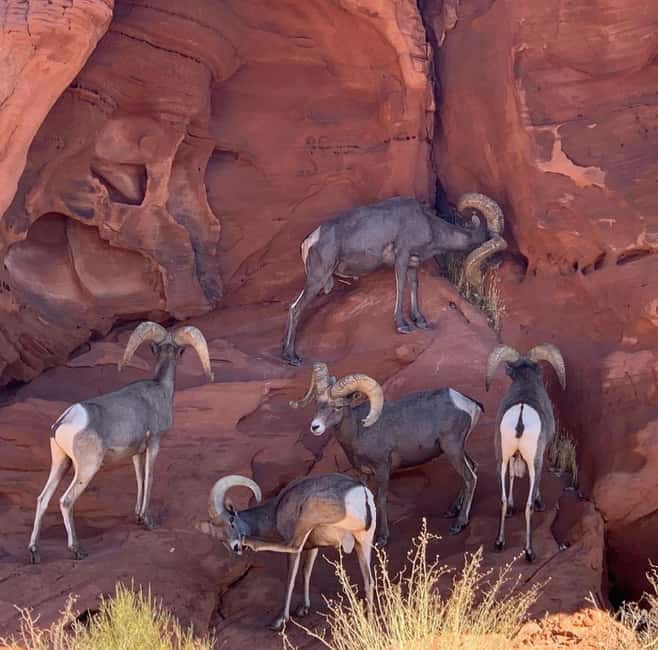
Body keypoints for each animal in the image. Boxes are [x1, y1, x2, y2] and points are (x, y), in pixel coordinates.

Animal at [27, 321, 214, 563]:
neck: (160, 389)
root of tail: (66, 419)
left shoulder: (136, 453)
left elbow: (140, 479)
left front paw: (138, 517)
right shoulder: (154, 443)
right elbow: (150, 478)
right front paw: (148, 521)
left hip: (62, 463)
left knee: (43, 499)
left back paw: (34, 552)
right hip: (87, 468)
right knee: (66, 501)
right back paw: (77, 550)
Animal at [199, 473, 375, 631]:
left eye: (231, 521)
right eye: (221, 539)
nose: (236, 547)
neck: (275, 511)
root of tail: (361, 493)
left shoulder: (300, 545)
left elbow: (291, 579)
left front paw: (281, 621)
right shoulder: (313, 548)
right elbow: (306, 572)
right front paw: (304, 608)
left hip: (308, 515)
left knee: (292, 546)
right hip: (363, 544)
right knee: (369, 581)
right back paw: (369, 622)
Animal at [281, 193, 507, 364]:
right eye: (490, 239)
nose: (498, 261)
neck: (429, 226)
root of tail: (309, 243)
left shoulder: (413, 264)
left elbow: (414, 286)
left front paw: (420, 321)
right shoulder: (402, 256)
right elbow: (401, 286)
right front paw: (403, 325)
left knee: (293, 307)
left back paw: (284, 353)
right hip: (317, 279)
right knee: (296, 308)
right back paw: (293, 357)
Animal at [290, 363, 481, 547]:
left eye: (338, 407)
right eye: (318, 405)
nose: (315, 427)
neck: (359, 431)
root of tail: (469, 403)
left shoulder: (382, 469)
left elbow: (380, 501)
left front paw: (382, 538)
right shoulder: (362, 473)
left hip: (452, 449)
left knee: (470, 478)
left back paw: (458, 524)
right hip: (457, 450)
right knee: (473, 468)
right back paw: (452, 510)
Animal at [485, 343, 566, 562]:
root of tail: (520, 419)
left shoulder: (511, 457)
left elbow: (512, 478)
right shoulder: (539, 457)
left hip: (500, 459)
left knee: (502, 499)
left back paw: (499, 542)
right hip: (533, 463)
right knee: (528, 506)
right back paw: (530, 552)